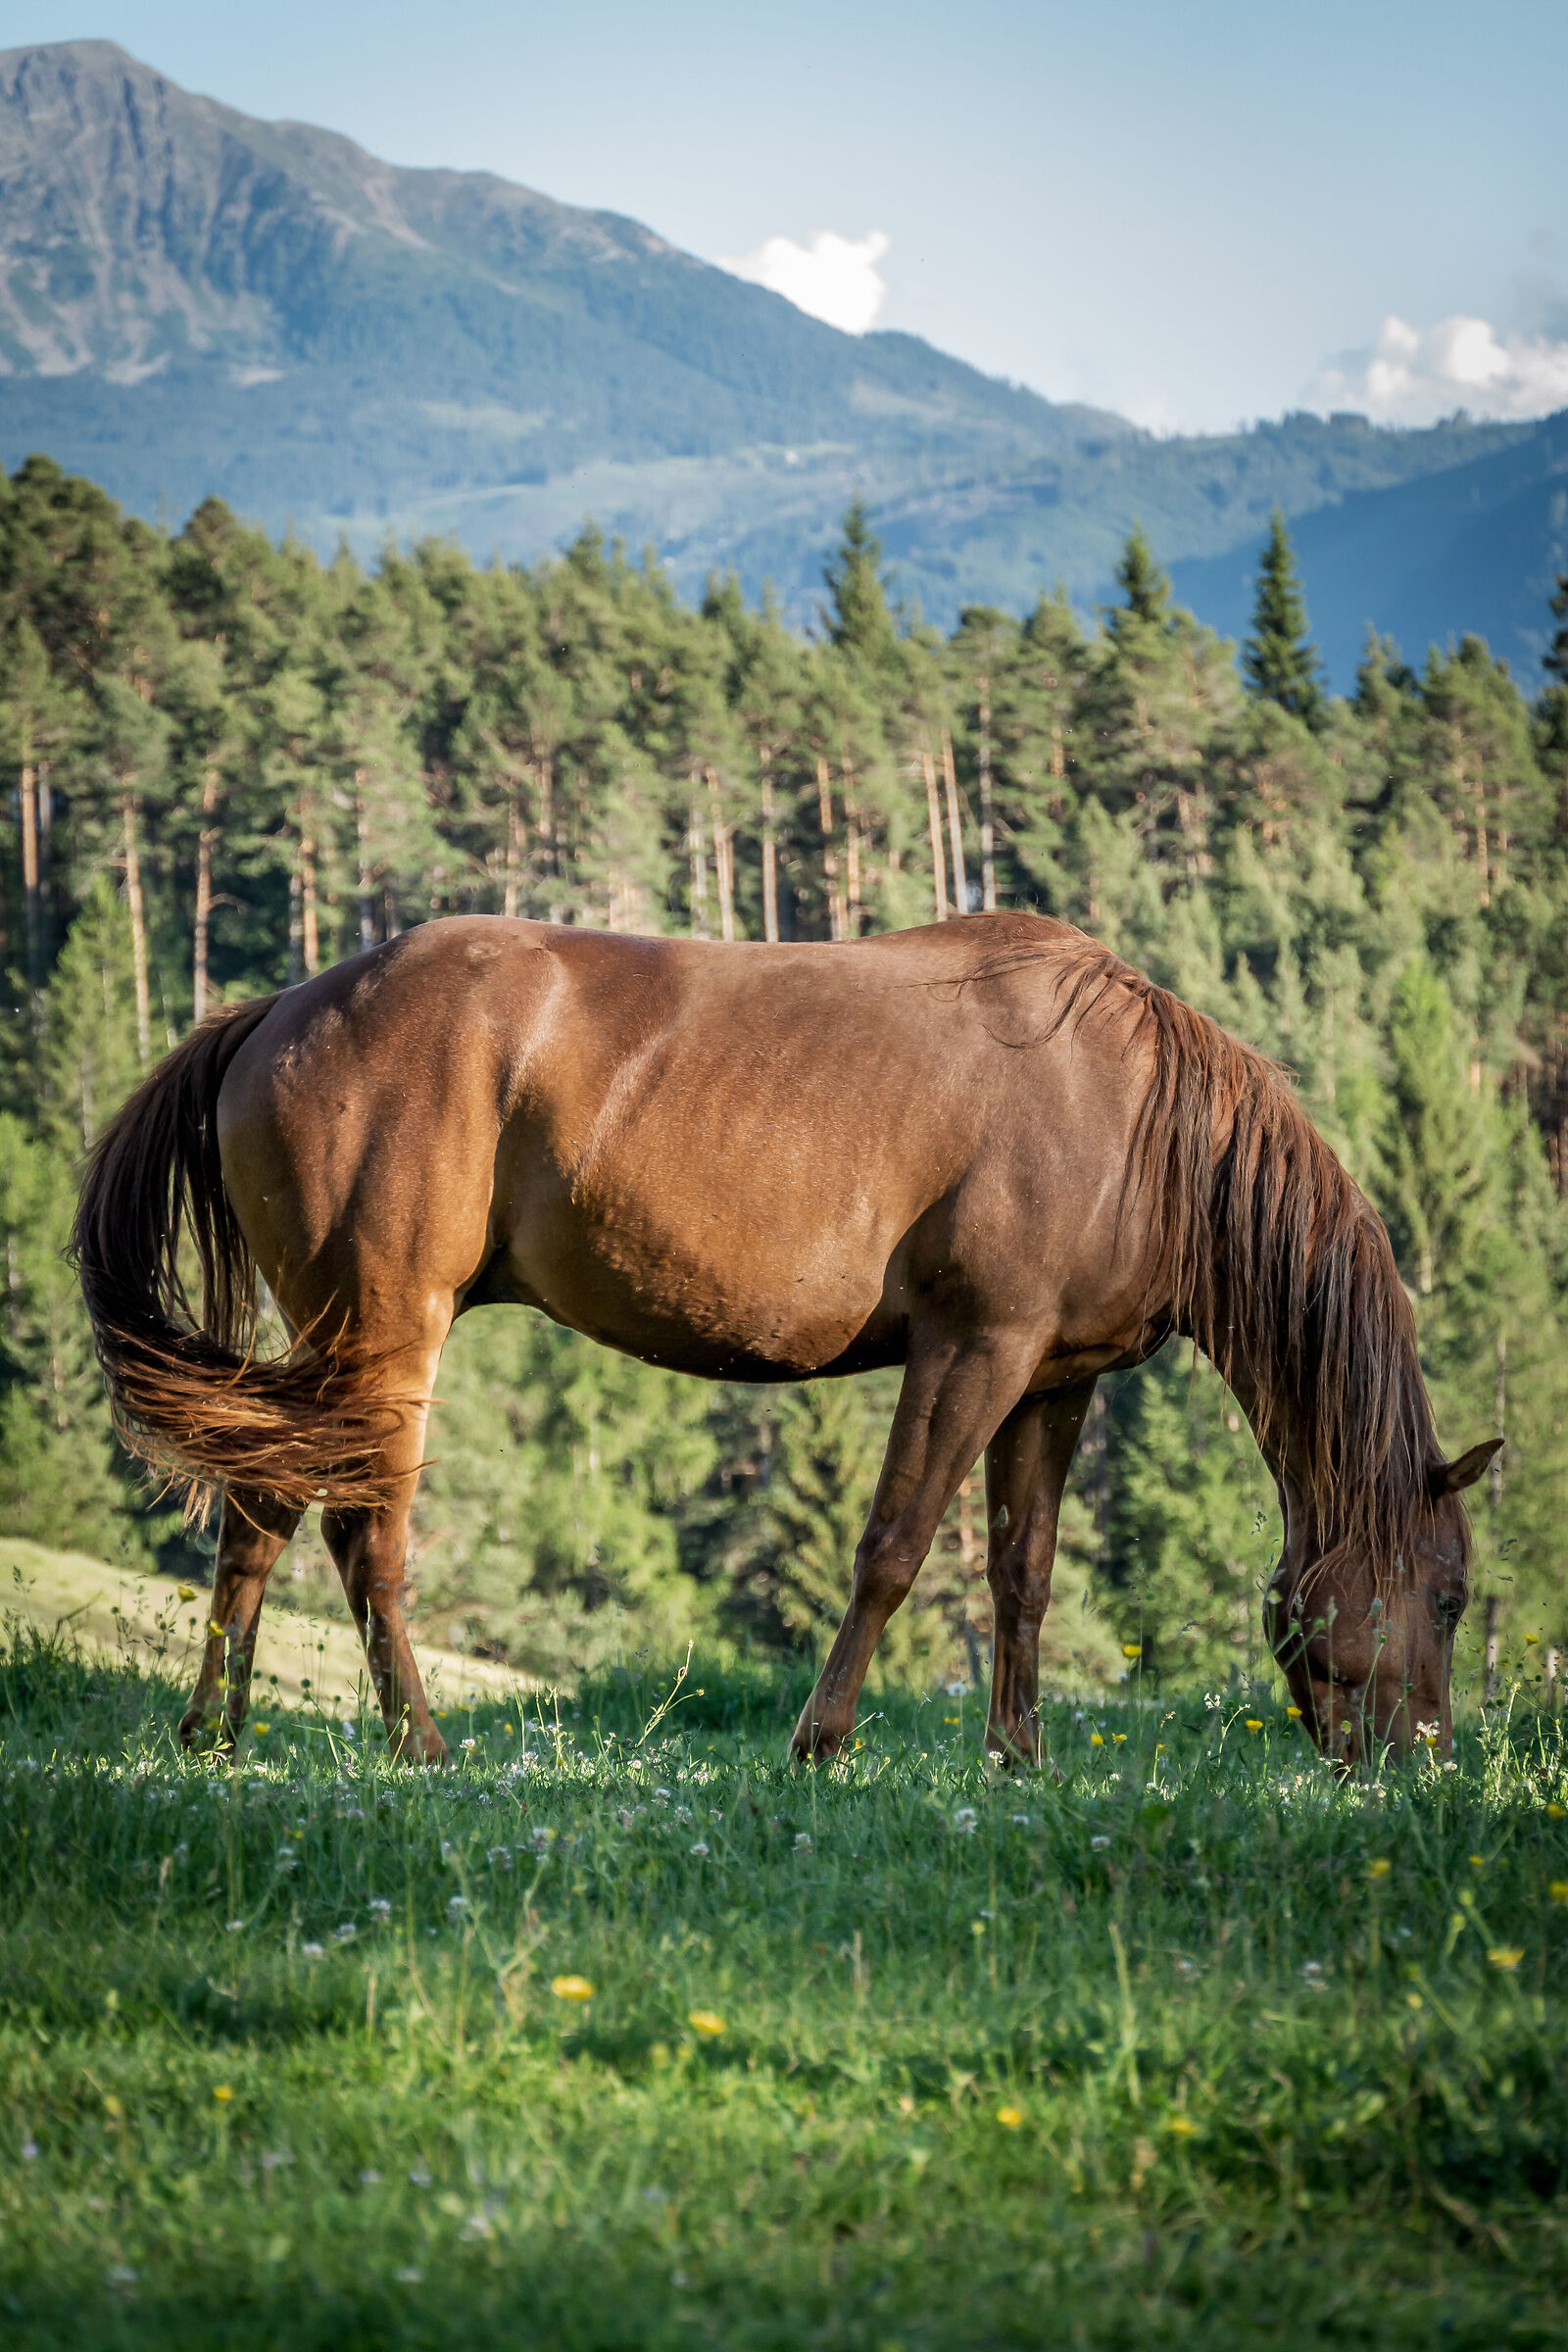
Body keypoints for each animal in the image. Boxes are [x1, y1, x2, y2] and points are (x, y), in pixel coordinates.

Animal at [72, 911, 1497, 1769]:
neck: (1135, 1115)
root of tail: (276, 1013)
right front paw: (822, 1743)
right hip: (386, 1332)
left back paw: (215, 1737)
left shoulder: (1052, 1384)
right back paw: (415, 1745)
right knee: (364, 1537)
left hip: (322, 1342)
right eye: (1447, 1595)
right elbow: (892, 1550)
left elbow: (1020, 1575)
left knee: (260, 1511)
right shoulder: (972, 1351)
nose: (1419, 1766)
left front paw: (1018, 1760)